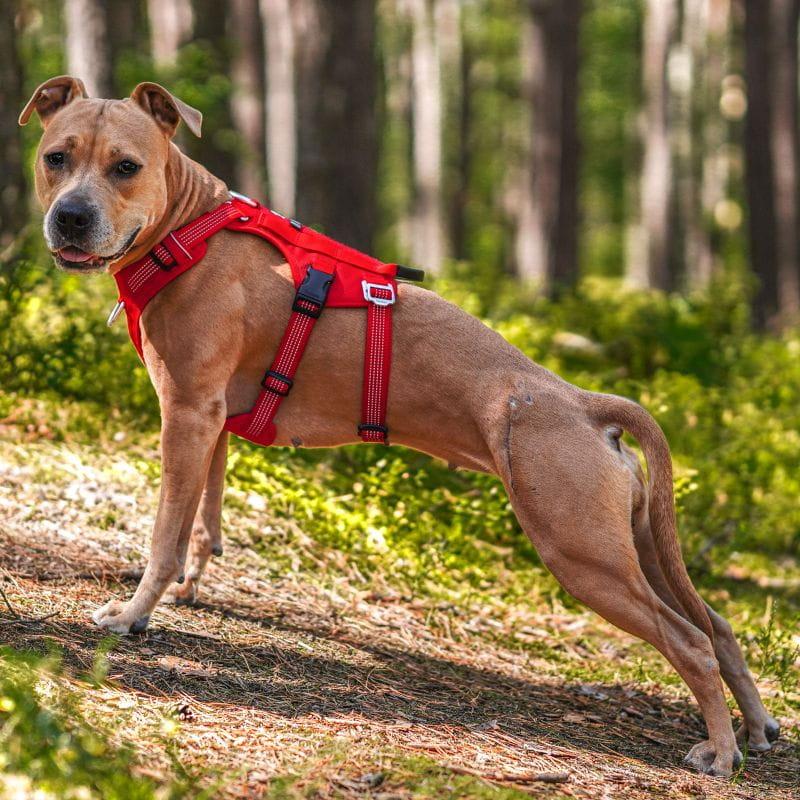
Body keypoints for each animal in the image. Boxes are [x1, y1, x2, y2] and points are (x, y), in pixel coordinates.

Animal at [18, 76, 780, 776]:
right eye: (57, 157)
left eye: (126, 167)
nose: (72, 217)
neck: (186, 228)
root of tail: (583, 402)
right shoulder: (209, 425)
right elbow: (202, 523)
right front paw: (188, 589)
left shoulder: (186, 414)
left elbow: (162, 535)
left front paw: (133, 615)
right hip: (638, 548)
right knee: (716, 625)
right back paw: (756, 726)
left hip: (582, 554)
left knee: (688, 641)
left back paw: (719, 751)